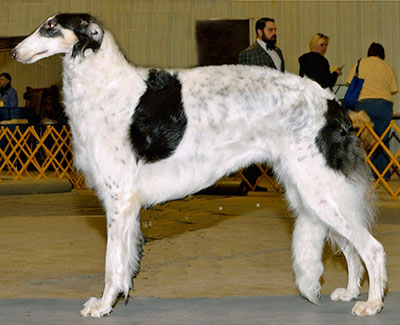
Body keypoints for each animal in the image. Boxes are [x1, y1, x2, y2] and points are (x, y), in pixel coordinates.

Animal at [12, 13, 386, 316]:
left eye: (51, 26)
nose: (14, 52)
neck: (107, 85)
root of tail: (331, 101)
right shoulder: (127, 205)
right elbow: (123, 264)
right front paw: (114, 299)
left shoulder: (119, 200)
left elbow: (111, 264)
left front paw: (102, 306)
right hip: (312, 192)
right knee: (351, 247)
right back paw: (351, 292)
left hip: (318, 190)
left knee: (371, 247)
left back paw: (371, 304)